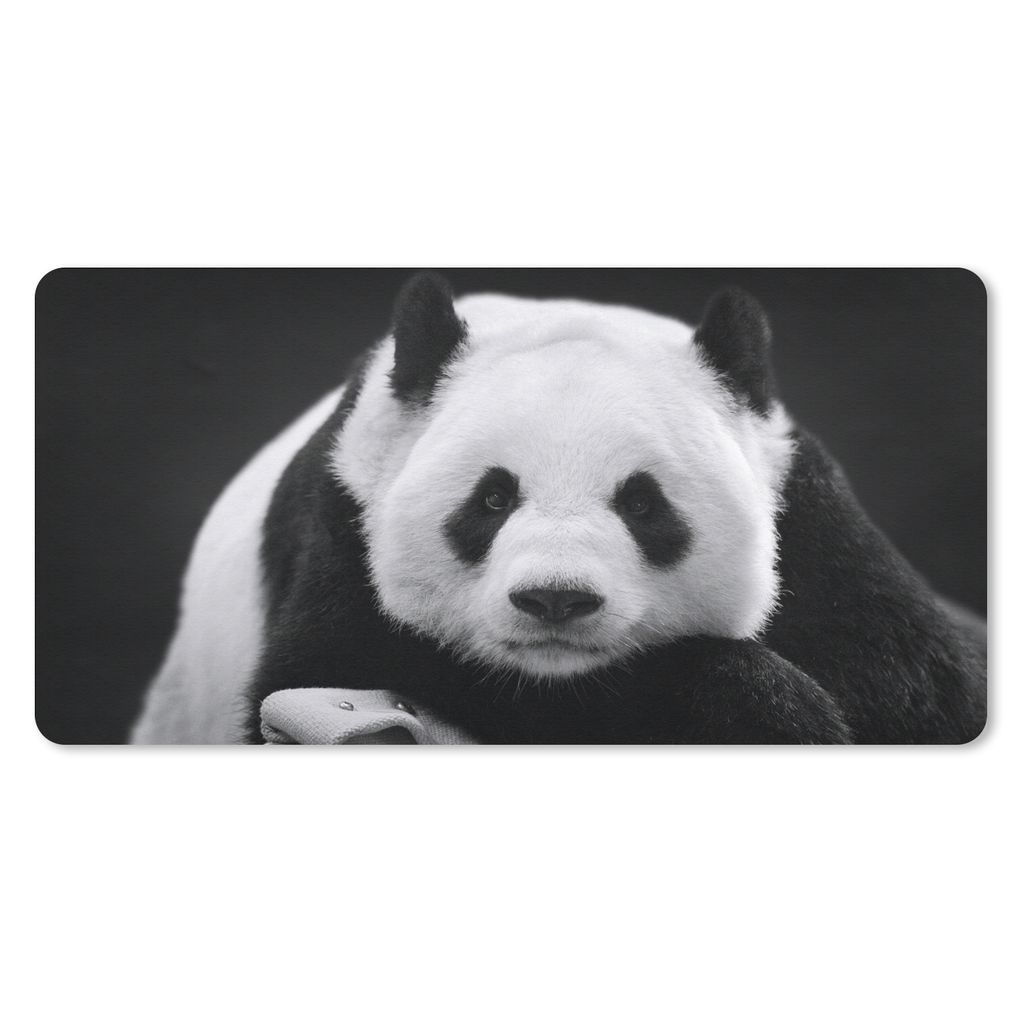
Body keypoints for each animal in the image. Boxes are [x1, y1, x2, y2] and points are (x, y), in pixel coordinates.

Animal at [132, 272, 986, 744]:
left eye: (642, 503)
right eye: (492, 497)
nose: (555, 600)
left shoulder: (815, 530)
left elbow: (926, 693)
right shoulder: (345, 524)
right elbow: (335, 666)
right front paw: (764, 709)